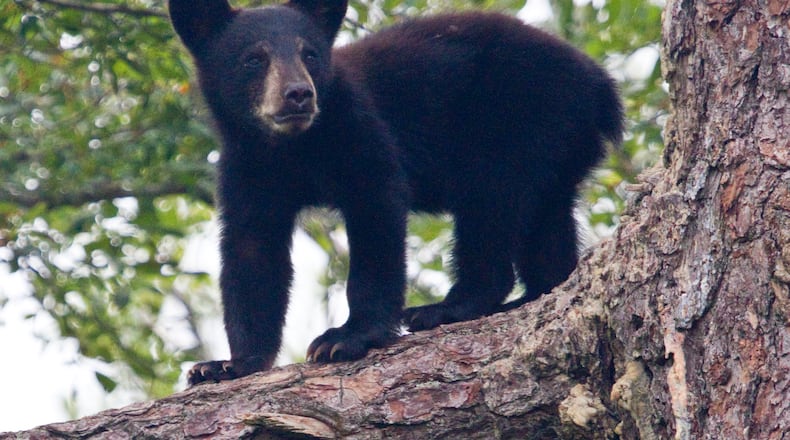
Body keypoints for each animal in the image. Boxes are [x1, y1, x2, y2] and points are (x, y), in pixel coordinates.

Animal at [169, 0, 623, 385]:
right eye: (253, 59)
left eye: (310, 53)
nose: (298, 94)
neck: (294, 148)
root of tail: (600, 83)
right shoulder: (248, 168)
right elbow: (252, 253)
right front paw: (228, 365)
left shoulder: (359, 129)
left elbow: (378, 212)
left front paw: (345, 337)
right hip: (558, 141)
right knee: (546, 219)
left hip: (520, 120)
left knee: (489, 205)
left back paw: (445, 307)